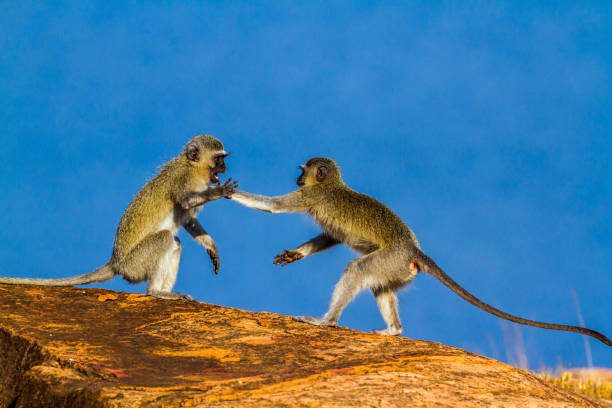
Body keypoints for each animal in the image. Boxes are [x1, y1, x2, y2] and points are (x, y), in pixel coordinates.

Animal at [0, 135, 237, 300]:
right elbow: (186, 202)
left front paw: (211, 246)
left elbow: (188, 220)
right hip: (135, 265)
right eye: (218, 159)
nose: (224, 167)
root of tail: (116, 262)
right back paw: (155, 291)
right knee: (165, 239)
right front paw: (217, 192)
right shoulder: (183, 179)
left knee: (175, 243)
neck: (192, 167)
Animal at [231, 158, 612, 346]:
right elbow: (329, 238)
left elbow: (274, 208)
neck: (331, 184)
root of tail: (413, 248)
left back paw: (327, 321)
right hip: (398, 269)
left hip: (391, 261)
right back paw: (393, 331)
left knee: (357, 269)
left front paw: (225, 192)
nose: (297, 180)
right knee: (379, 285)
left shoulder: (310, 196)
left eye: (304, 173)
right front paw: (295, 254)